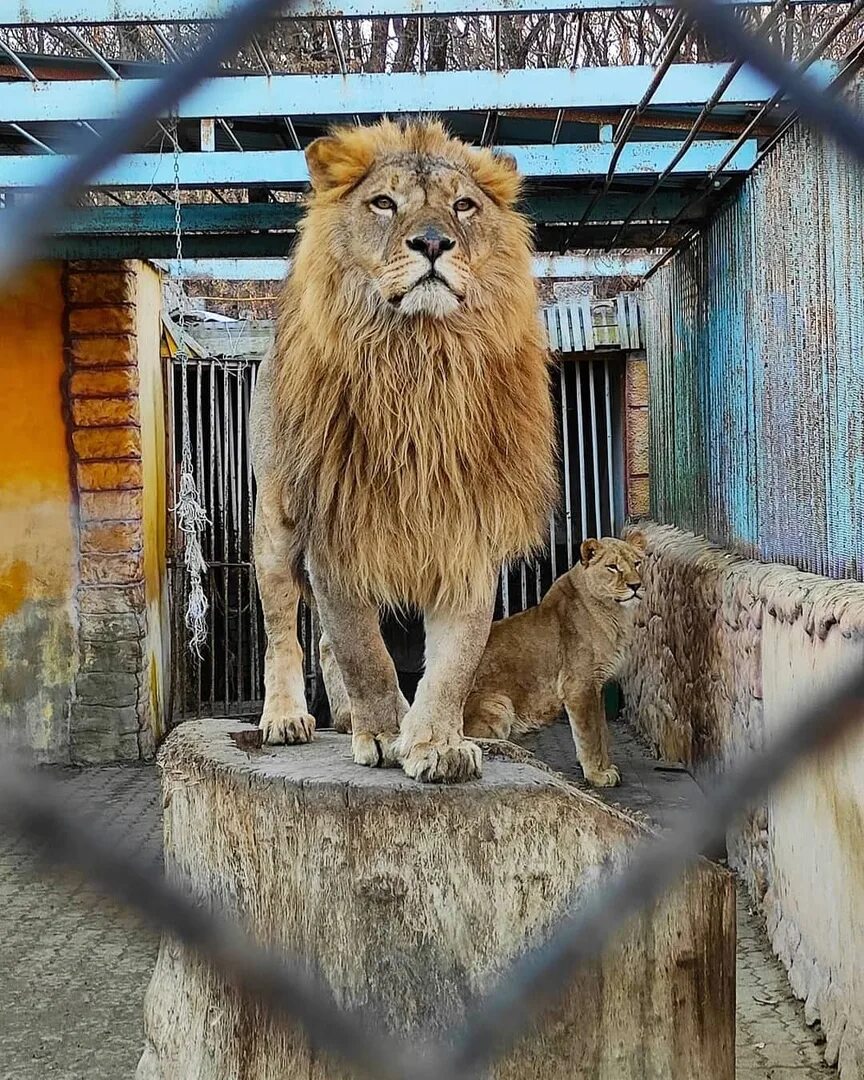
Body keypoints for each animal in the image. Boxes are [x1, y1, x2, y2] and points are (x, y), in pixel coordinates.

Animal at [251, 120, 552, 786]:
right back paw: (287, 717)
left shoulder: (469, 532)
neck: (419, 365)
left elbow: (456, 659)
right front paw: (388, 733)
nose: (434, 242)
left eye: (463, 206)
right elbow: (364, 649)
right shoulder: (333, 528)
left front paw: (437, 743)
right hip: (276, 527)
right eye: (384, 203)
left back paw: (343, 715)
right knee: (284, 628)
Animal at [462, 535, 643, 790]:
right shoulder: (579, 687)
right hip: (498, 703)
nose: (636, 586)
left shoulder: (596, 687)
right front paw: (597, 775)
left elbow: (602, 732)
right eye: (613, 567)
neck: (613, 613)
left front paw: (606, 767)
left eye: (637, 563)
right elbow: (588, 735)